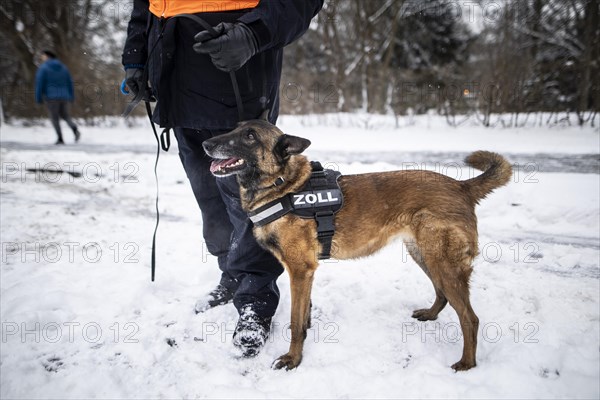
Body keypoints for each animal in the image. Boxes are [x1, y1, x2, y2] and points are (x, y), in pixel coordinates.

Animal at [202, 118, 510, 372]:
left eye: (250, 136)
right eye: (234, 128)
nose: (206, 143)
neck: (281, 185)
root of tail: (462, 186)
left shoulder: (300, 270)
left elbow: (295, 322)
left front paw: (293, 359)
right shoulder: (307, 273)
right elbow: (304, 312)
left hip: (441, 261)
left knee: (470, 317)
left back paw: (467, 363)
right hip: (423, 254)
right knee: (442, 293)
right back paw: (431, 314)